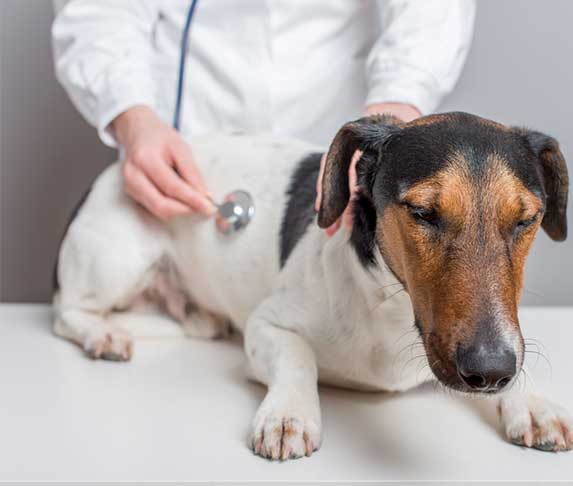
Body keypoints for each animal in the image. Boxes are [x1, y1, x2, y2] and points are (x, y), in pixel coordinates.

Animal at [52, 113, 568, 460]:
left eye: (526, 219)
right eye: (423, 213)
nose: (491, 371)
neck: (393, 309)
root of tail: (113, 172)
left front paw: (531, 402)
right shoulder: (266, 326)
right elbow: (298, 357)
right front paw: (288, 414)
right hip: (116, 257)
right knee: (64, 311)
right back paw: (103, 334)